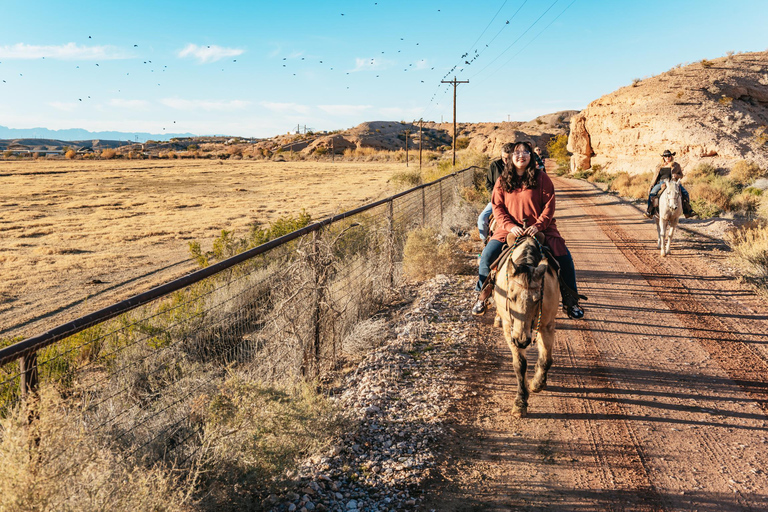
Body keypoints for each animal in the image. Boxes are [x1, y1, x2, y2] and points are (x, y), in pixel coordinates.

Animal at [492, 236, 560, 416]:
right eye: (510, 297)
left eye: (538, 299)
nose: (522, 341)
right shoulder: (510, 329)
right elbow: (520, 365)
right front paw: (520, 402)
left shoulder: (547, 326)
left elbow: (546, 359)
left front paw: (537, 383)